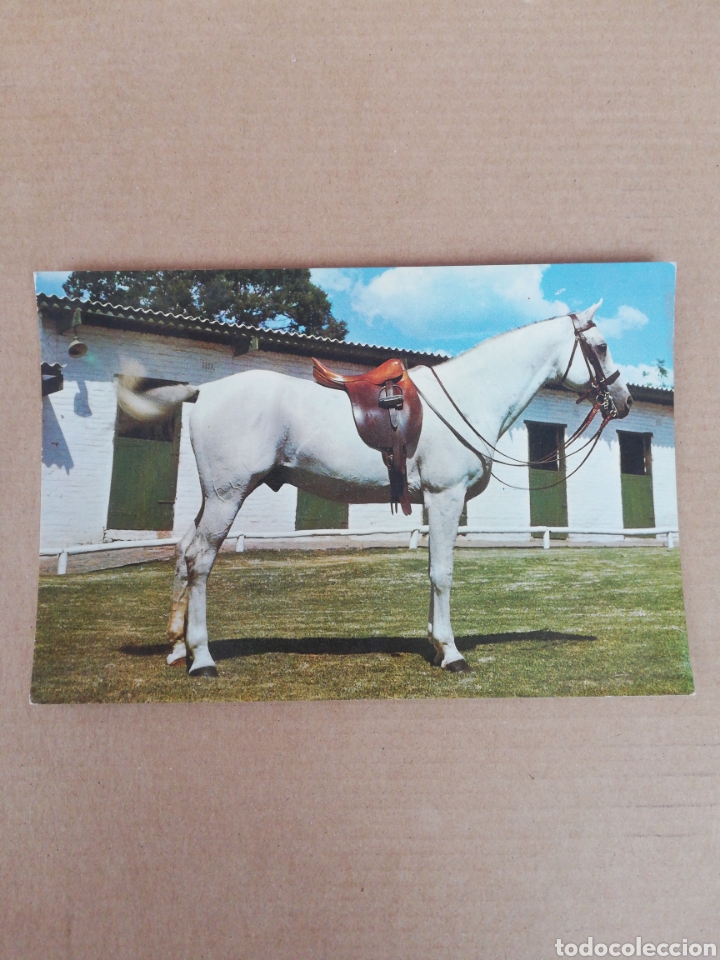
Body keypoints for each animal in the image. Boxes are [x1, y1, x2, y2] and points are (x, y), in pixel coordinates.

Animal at [117, 301, 632, 677]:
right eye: (602, 346)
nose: (623, 401)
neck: (471, 396)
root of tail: (203, 391)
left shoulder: (431, 502)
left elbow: (431, 570)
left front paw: (435, 643)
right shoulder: (445, 497)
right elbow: (443, 573)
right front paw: (452, 653)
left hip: (213, 498)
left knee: (183, 553)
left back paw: (177, 649)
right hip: (228, 497)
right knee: (201, 562)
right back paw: (202, 660)